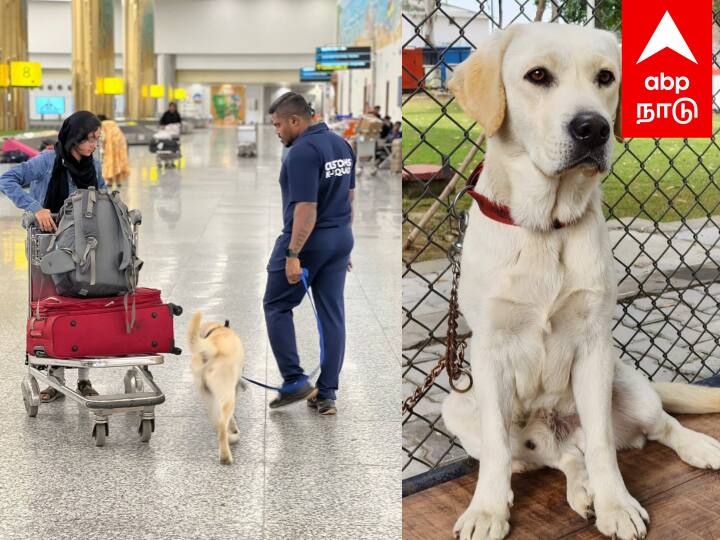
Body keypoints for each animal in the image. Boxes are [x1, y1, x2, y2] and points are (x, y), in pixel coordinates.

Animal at [187, 312, 246, 464]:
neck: (217, 329)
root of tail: (211, 348)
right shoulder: (234, 389)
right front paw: (234, 426)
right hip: (227, 396)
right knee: (221, 425)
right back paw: (227, 453)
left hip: (207, 396)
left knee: (216, 423)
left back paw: (230, 439)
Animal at [442, 22, 720, 540]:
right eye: (537, 75)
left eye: (605, 77)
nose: (593, 128)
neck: (544, 227)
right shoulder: (488, 350)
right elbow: (496, 449)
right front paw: (487, 511)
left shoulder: (593, 344)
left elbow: (604, 445)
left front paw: (617, 504)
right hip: (460, 405)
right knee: (562, 458)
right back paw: (579, 489)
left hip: (628, 384)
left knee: (651, 428)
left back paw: (696, 448)